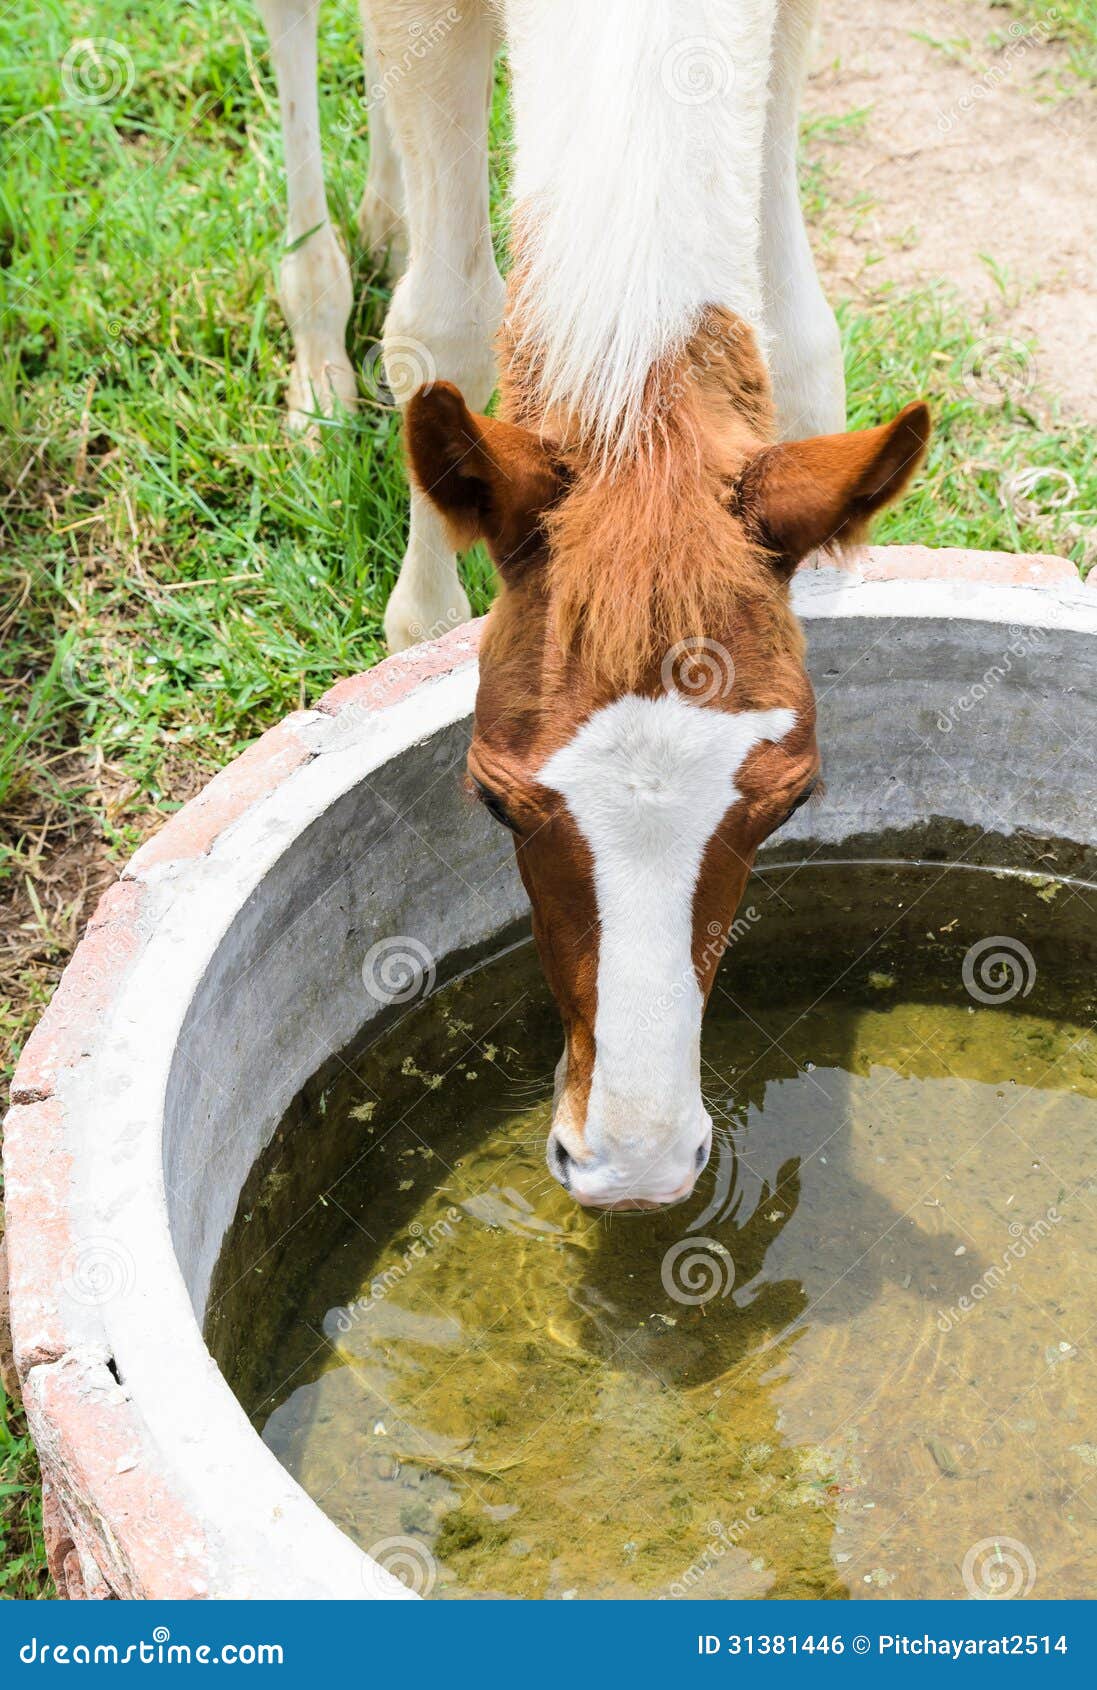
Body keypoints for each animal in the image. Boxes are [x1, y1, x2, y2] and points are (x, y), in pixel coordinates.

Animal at [257, 0, 929, 1208]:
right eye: (494, 804)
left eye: (789, 803)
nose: (635, 1162)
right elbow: (444, 326)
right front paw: (421, 618)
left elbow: (803, 341)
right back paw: (321, 349)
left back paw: (384, 212)